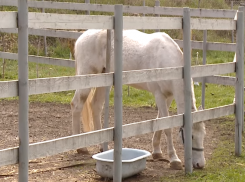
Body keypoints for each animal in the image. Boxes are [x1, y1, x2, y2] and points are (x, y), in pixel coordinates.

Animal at [71, 29, 207, 170]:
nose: (200, 164)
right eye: (191, 136)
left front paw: (157, 152)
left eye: (203, 135)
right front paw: (174, 159)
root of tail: (82, 37)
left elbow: (160, 122)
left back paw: (103, 146)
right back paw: (80, 147)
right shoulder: (159, 95)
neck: (168, 63)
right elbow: (167, 127)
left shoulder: (168, 96)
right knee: (77, 105)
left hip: (104, 80)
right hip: (87, 77)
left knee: (96, 106)